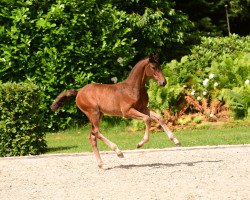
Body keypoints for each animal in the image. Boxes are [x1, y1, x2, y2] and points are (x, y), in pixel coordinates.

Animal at [51, 54, 180, 169]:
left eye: (160, 66)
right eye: (153, 67)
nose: (163, 82)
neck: (133, 88)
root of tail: (78, 92)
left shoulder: (143, 108)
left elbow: (159, 117)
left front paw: (176, 141)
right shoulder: (127, 112)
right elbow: (147, 119)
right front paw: (140, 143)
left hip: (99, 114)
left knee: (92, 136)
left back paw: (102, 165)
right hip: (93, 113)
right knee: (96, 132)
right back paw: (118, 152)